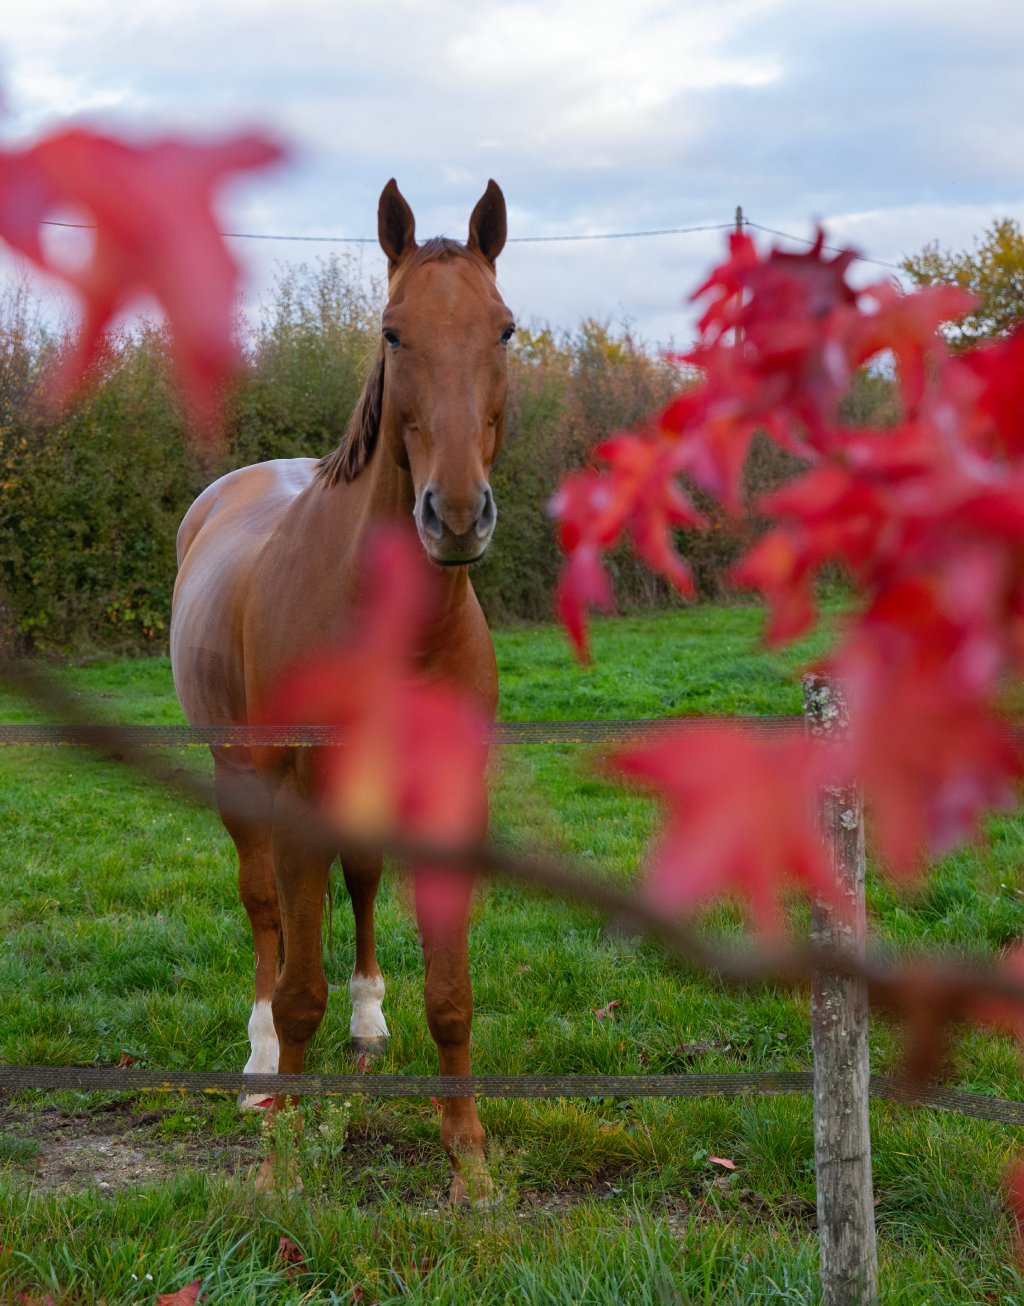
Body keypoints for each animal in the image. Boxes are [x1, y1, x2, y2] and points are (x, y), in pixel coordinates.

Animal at [169, 179, 511, 1202]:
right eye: (394, 333)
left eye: (506, 330)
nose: (455, 515)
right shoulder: (293, 799)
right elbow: (297, 990)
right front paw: (281, 1152)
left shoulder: (447, 796)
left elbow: (450, 993)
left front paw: (469, 1163)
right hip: (239, 781)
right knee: (263, 913)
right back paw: (256, 1070)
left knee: (358, 884)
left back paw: (367, 1025)